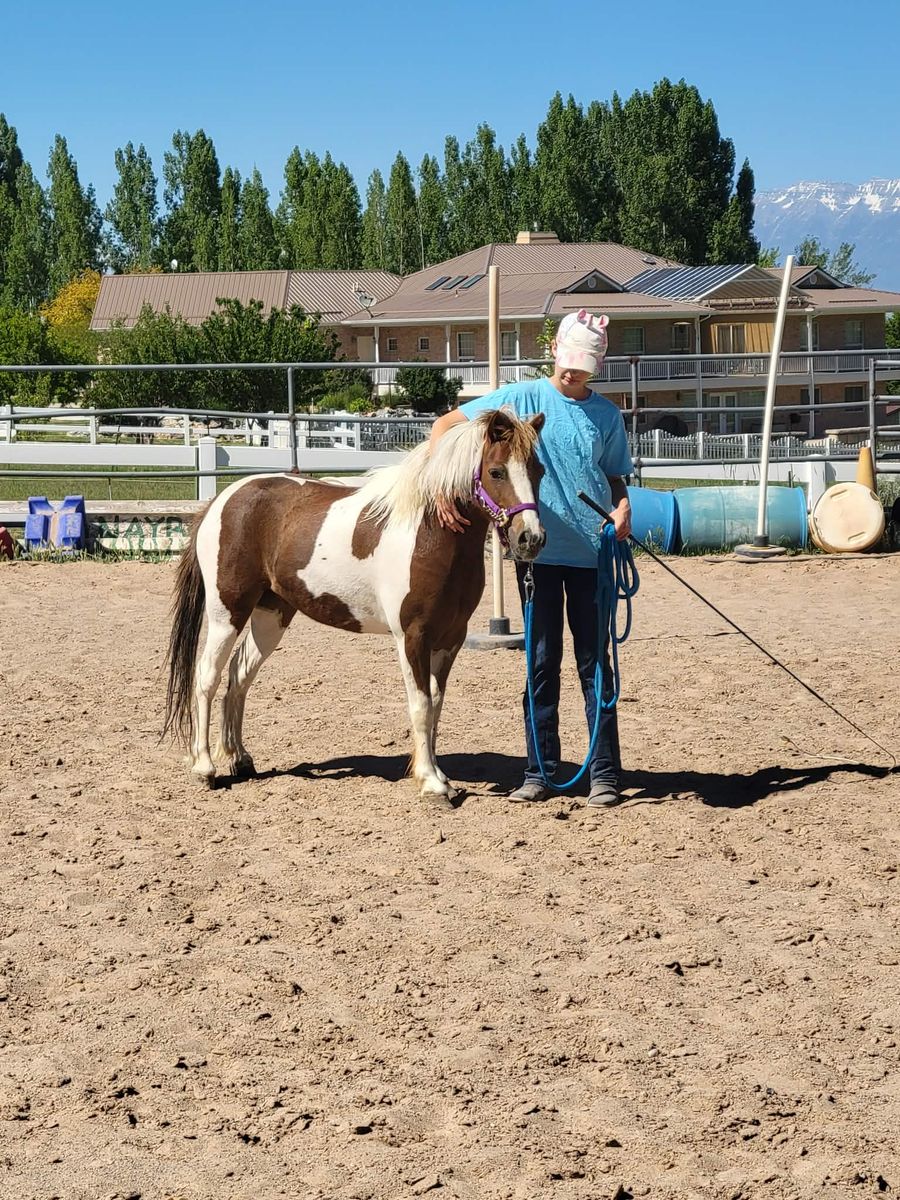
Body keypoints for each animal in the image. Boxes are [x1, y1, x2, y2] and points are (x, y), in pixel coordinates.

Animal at [163, 407, 546, 800]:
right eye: (496, 471)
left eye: (539, 471)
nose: (531, 538)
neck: (430, 533)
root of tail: (222, 501)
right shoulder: (412, 637)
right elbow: (421, 705)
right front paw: (430, 783)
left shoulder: (451, 638)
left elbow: (437, 706)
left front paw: (439, 775)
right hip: (227, 612)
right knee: (207, 677)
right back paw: (204, 768)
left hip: (272, 615)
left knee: (239, 675)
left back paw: (240, 759)